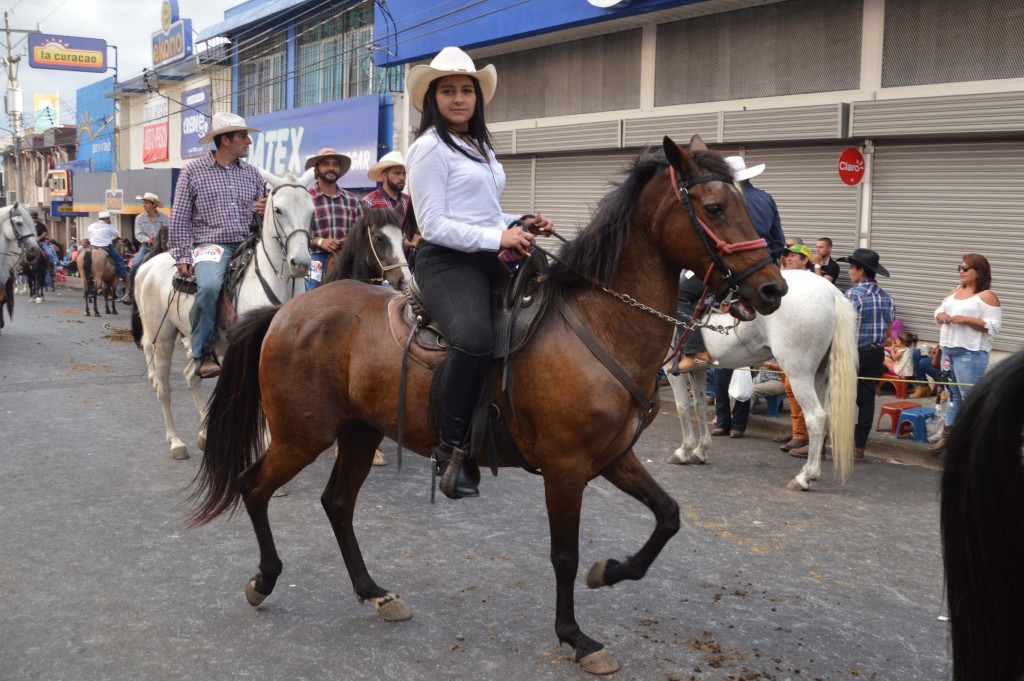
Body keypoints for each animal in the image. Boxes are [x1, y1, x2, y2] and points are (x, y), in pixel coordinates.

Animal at [134, 166, 313, 458]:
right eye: (278, 210)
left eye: (311, 210)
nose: (301, 263)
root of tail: (148, 267)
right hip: (163, 339)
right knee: (164, 389)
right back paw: (176, 442)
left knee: (191, 377)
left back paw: (205, 435)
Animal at [190, 135, 782, 671]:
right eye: (714, 208)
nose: (773, 289)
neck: (597, 324)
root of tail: (287, 312)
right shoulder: (565, 468)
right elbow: (564, 555)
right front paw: (576, 637)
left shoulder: (614, 456)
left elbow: (668, 517)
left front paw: (610, 572)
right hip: (302, 434)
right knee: (252, 486)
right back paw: (265, 579)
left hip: (358, 431)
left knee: (336, 504)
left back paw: (374, 591)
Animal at [667, 268, 860, 491]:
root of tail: (833, 293)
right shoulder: (698, 368)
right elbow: (699, 406)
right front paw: (700, 450)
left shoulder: (669, 365)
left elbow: (682, 406)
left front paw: (683, 450)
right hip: (820, 374)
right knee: (827, 415)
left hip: (799, 374)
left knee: (815, 417)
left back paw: (805, 476)